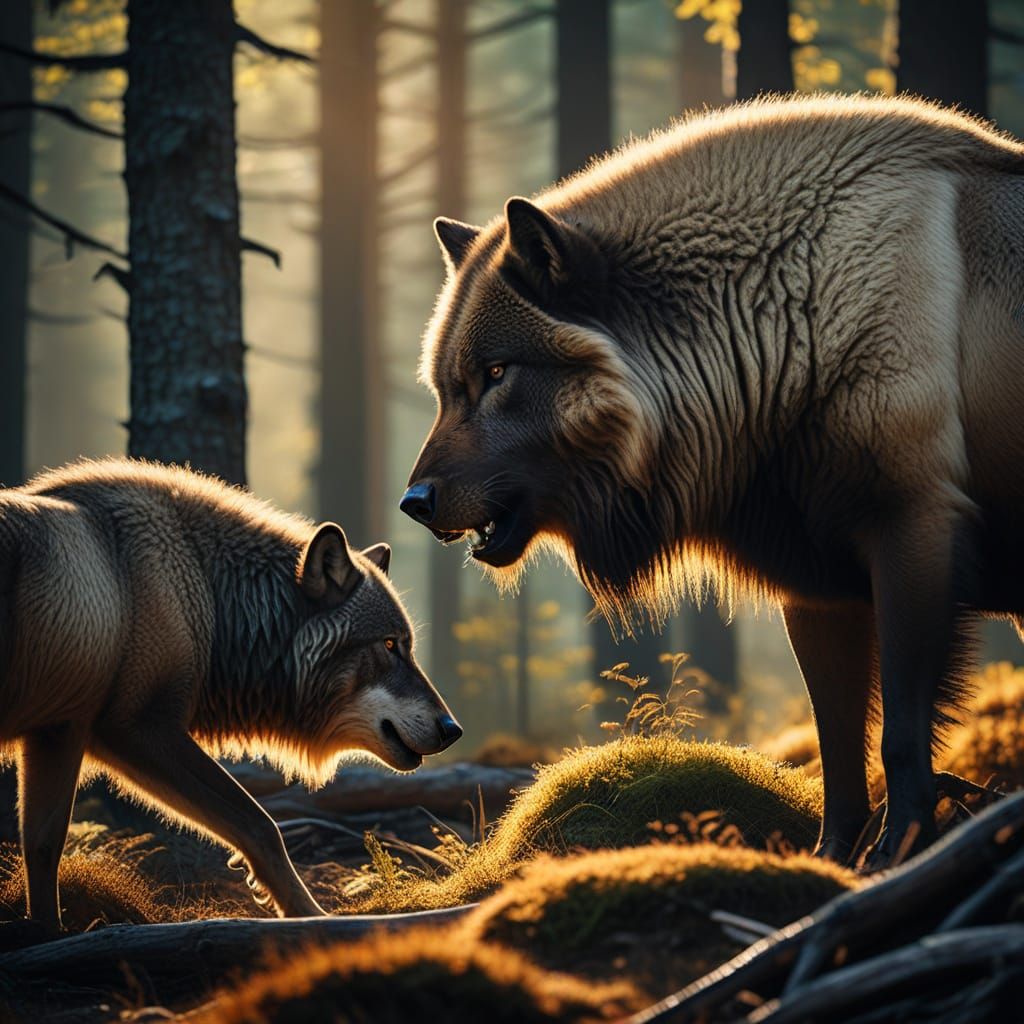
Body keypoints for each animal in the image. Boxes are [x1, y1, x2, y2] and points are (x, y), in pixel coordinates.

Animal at [0, 459, 462, 928]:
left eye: (407, 645)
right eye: (390, 645)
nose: (453, 729)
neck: (203, 595)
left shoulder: (57, 734)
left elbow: (43, 845)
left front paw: (48, 932)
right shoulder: (139, 730)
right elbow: (260, 824)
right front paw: (309, 915)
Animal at [402, 94, 1024, 863]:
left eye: (495, 373)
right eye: (443, 388)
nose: (412, 502)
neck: (792, 313)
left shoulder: (915, 535)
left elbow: (901, 739)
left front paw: (893, 855)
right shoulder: (817, 588)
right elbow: (837, 752)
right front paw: (830, 865)